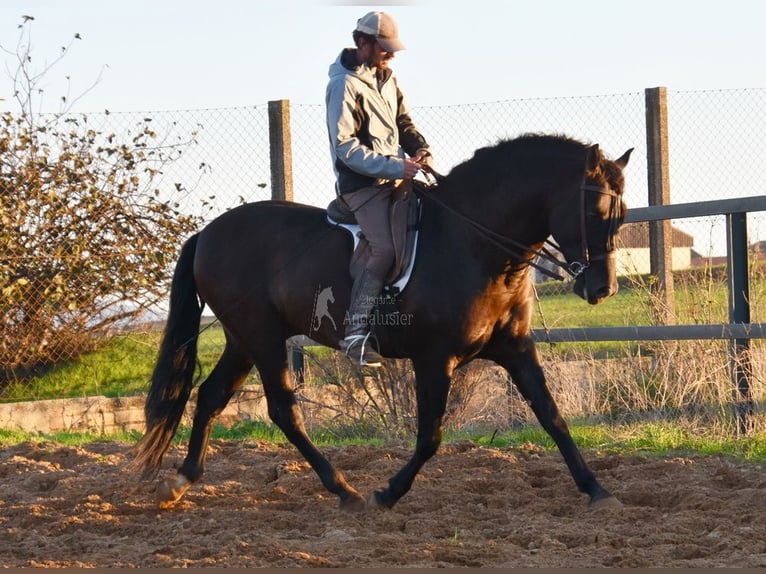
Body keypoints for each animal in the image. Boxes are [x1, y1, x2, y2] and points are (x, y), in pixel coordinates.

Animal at [134, 134, 636, 512]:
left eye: (623, 214)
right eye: (595, 212)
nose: (603, 288)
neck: (474, 243)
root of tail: (207, 232)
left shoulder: (515, 347)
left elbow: (552, 416)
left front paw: (597, 490)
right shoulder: (435, 359)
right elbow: (430, 436)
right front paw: (387, 493)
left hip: (244, 339)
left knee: (210, 396)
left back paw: (180, 481)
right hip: (262, 337)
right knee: (282, 410)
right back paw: (345, 491)